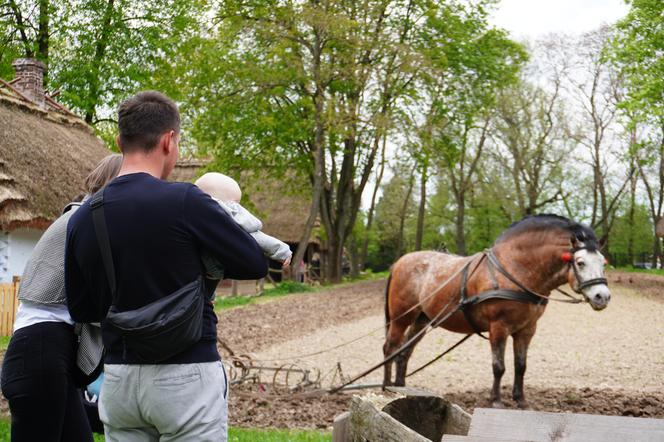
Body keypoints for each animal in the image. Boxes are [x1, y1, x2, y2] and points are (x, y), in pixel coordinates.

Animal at [382, 213, 608, 408]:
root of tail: (399, 262)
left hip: (422, 319)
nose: (602, 296)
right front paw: (496, 401)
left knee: (405, 351)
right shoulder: (499, 327)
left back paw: (401, 388)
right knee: (390, 348)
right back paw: (386, 387)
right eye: (580, 262)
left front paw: (520, 400)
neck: (515, 269)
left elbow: (521, 366)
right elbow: (499, 367)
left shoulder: (527, 329)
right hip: (401, 318)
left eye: (604, 263)